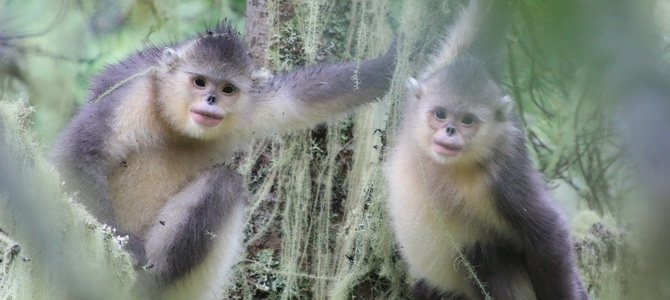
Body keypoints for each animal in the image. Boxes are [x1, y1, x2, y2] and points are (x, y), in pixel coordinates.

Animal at [53, 22, 400, 298]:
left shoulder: (258, 102)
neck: (177, 126)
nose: (211, 100)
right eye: (200, 82)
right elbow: (77, 152)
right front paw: (124, 243)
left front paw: (395, 61)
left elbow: (314, 93)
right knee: (224, 182)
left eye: (227, 89)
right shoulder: (132, 95)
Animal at [384, 1, 588, 298]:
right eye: (440, 114)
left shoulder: (502, 178)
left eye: (467, 120)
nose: (450, 131)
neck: (443, 166)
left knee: (484, 253)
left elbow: (549, 235)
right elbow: (481, 28)